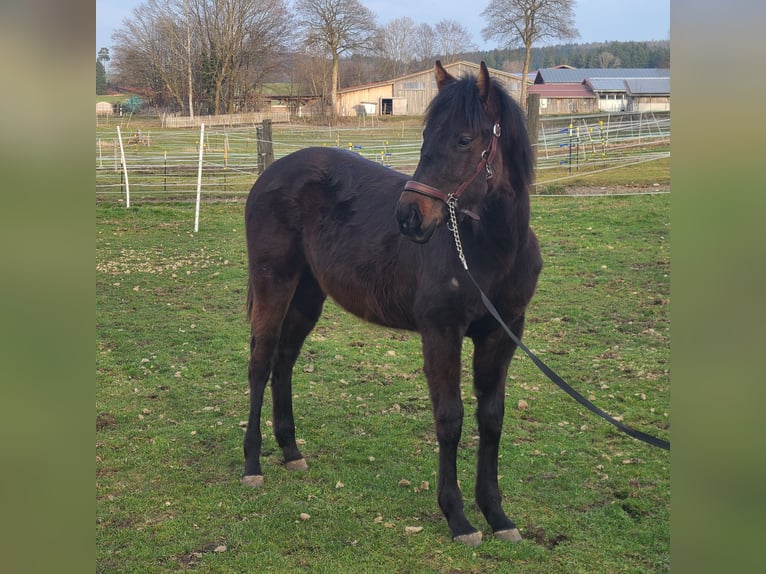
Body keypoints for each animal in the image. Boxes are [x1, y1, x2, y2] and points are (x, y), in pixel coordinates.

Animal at [242, 61, 542, 546]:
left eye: (464, 139)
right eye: (426, 135)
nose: (409, 217)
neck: (488, 251)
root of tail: (271, 174)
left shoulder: (502, 333)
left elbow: (491, 419)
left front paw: (497, 515)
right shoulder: (441, 333)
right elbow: (450, 418)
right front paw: (458, 518)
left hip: (308, 294)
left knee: (284, 361)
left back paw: (290, 451)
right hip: (275, 283)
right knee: (261, 363)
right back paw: (252, 464)